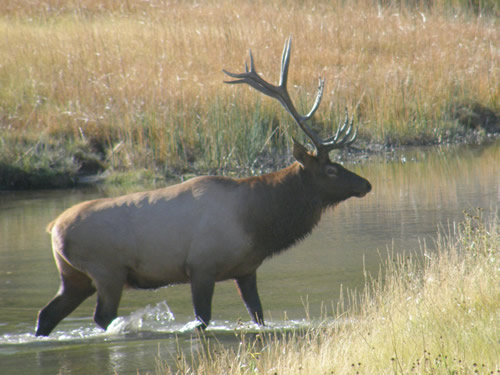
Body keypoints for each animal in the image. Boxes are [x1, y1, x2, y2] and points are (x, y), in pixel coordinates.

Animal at [35, 39, 372, 338]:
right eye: (331, 170)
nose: (366, 184)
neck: (259, 223)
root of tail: (53, 227)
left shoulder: (246, 269)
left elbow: (258, 315)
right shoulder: (201, 266)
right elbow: (202, 319)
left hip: (75, 277)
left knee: (46, 314)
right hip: (107, 271)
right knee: (102, 316)